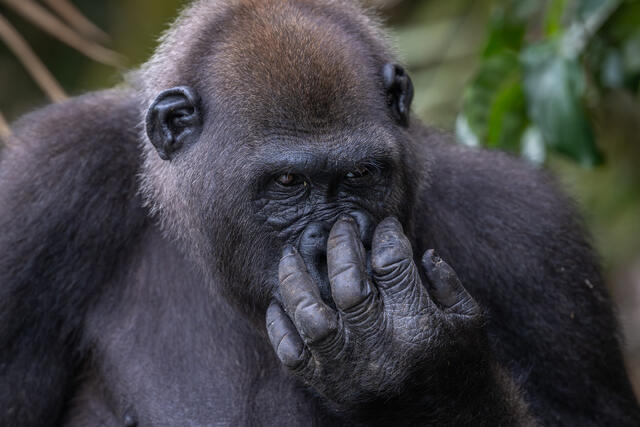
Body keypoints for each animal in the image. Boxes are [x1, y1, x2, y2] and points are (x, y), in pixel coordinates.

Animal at [1, 0, 639, 425]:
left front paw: (425, 377)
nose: (326, 244)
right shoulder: (40, 185)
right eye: (288, 181)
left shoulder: (528, 231)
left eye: (361, 175)